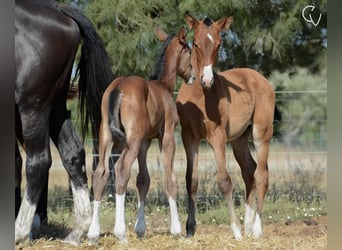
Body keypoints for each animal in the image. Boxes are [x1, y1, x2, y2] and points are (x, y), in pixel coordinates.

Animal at [15, 0, 113, 246]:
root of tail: (59, 10)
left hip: (33, 107)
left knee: (38, 162)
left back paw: (20, 232)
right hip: (55, 108)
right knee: (73, 154)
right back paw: (76, 232)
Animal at [88, 27, 192, 244]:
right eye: (189, 51)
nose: (193, 75)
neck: (163, 86)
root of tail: (118, 88)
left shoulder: (145, 141)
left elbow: (143, 180)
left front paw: (141, 230)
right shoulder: (166, 136)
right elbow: (170, 179)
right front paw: (176, 230)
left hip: (106, 137)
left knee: (100, 173)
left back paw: (93, 235)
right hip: (132, 141)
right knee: (121, 170)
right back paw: (120, 234)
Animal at [176, 12, 280, 240]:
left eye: (219, 44)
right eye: (196, 44)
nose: (207, 80)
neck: (199, 96)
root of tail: (259, 78)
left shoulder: (217, 136)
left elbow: (224, 180)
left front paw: (236, 230)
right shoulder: (189, 137)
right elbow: (191, 180)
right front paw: (190, 228)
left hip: (261, 132)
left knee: (261, 174)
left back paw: (256, 229)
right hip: (239, 139)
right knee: (249, 171)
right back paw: (248, 225)